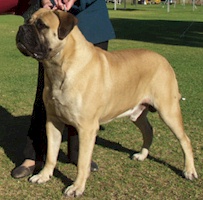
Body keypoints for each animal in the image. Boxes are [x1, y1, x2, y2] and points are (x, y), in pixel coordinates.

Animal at [16, 8, 198, 198]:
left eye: (41, 25)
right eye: (28, 21)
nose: (21, 28)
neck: (60, 67)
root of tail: (164, 60)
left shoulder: (87, 128)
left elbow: (82, 162)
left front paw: (77, 187)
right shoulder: (53, 121)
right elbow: (51, 154)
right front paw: (44, 175)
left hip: (168, 110)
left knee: (185, 140)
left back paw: (189, 171)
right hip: (138, 113)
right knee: (148, 130)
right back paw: (142, 155)